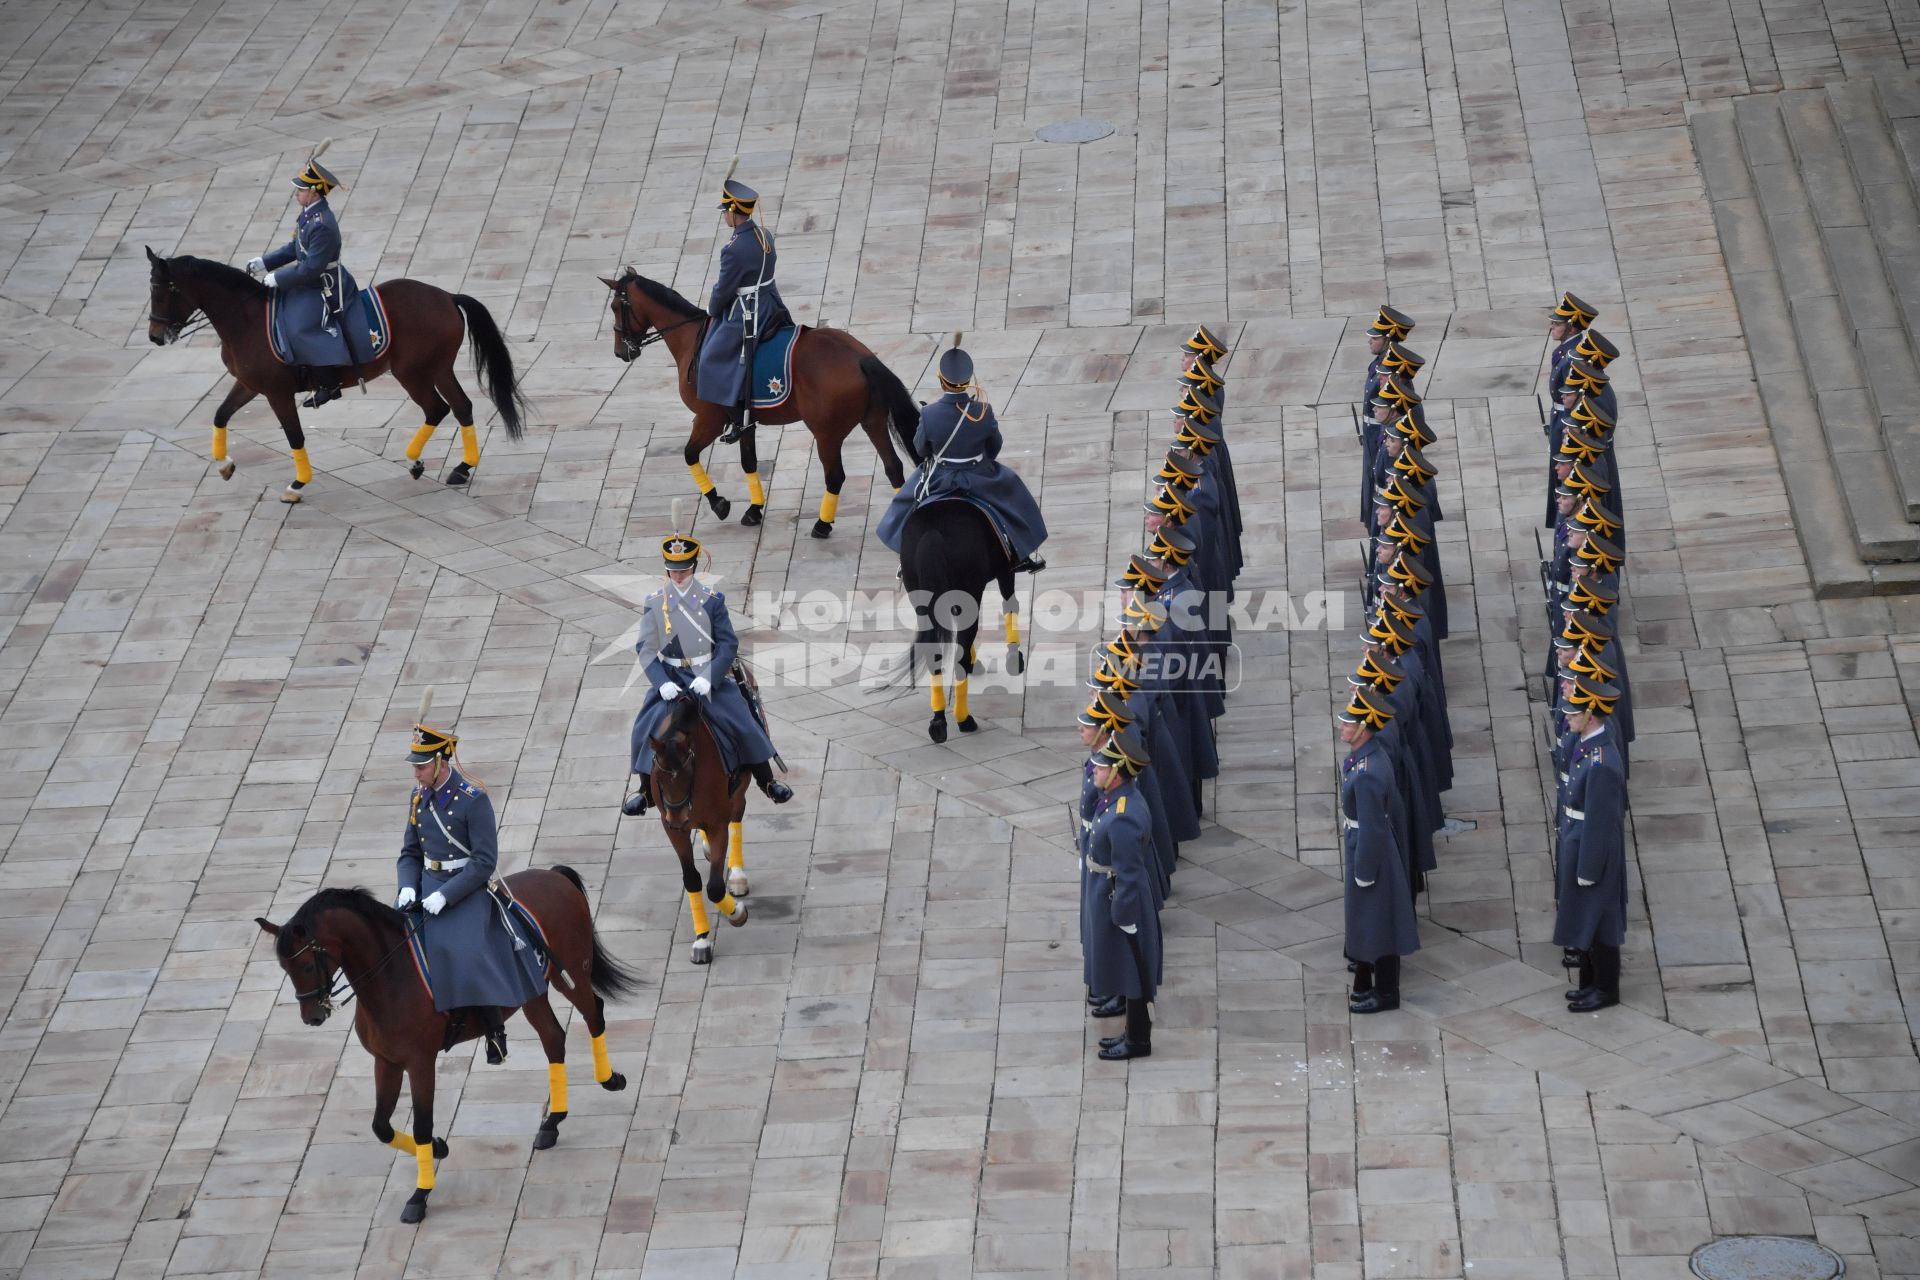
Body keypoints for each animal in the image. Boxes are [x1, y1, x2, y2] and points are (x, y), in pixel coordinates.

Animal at [147, 249, 533, 506]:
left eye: (165, 290)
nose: (154, 336)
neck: (247, 318)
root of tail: (447, 297)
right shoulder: (249, 385)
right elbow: (220, 415)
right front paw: (225, 464)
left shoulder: (276, 392)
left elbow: (294, 436)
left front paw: (297, 485)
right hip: (438, 368)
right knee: (462, 406)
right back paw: (461, 467)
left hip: (412, 373)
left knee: (437, 409)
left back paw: (418, 460)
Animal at [251, 867, 629, 1228]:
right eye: (284, 968)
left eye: (306, 964)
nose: (312, 1017)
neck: (390, 976)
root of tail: (551, 874)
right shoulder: (386, 1061)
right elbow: (381, 1126)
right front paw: (437, 1148)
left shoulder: (421, 1063)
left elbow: (421, 1123)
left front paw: (419, 1196)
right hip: (530, 991)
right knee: (553, 1038)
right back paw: (552, 1123)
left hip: (571, 974)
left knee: (594, 1013)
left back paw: (610, 1079)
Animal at [602, 268, 925, 537]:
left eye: (616, 307)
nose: (620, 352)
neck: (692, 337)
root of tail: (860, 357)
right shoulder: (744, 422)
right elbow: (749, 462)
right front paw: (754, 509)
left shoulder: (708, 419)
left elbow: (689, 454)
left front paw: (718, 502)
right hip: (873, 422)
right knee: (894, 467)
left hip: (827, 434)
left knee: (835, 476)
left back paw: (822, 525)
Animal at [645, 694, 748, 967]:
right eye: (659, 778)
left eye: (688, 774)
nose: (678, 816)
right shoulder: (672, 829)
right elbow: (691, 879)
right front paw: (701, 939)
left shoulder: (717, 823)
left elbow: (714, 887)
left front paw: (736, 913)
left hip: (740, 788)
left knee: (738, 813)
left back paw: (737, 874)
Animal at [894, 498, 1021, 740]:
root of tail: (932, 531)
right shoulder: (1005, 570)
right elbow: (1010, 603)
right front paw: (1014, 656)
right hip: (970, 590)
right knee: (960, 654)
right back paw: (964, 719)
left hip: (923, 602)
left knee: (934, 654)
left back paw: (938, 720)